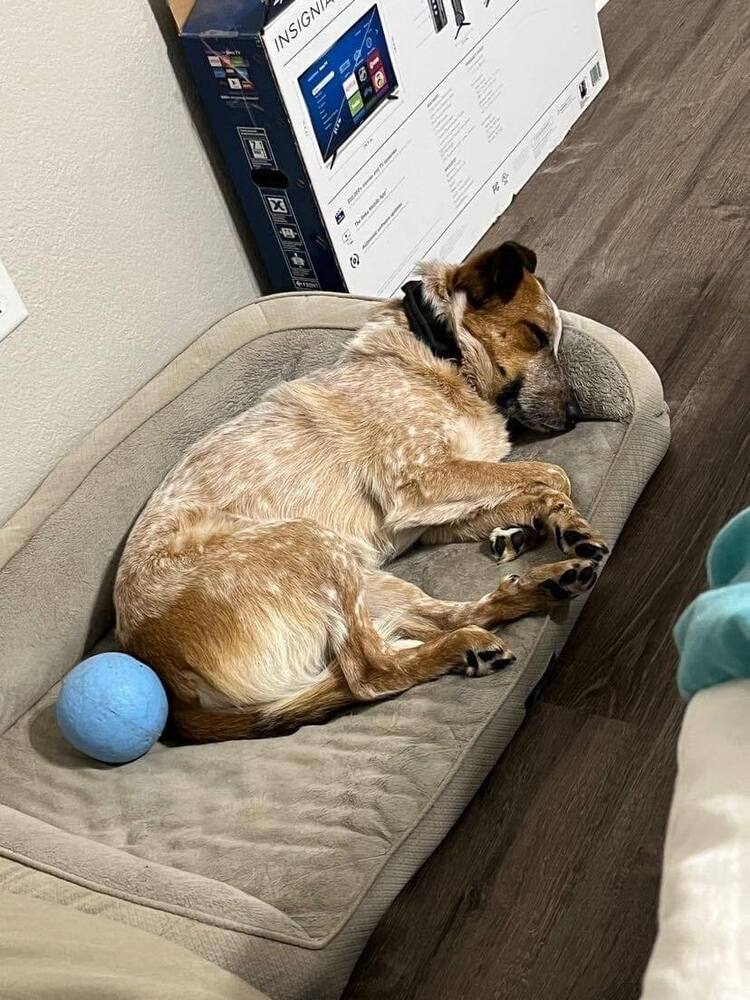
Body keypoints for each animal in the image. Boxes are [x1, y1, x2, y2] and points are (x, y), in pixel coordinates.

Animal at [117, 242, 612, 744]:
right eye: (535, 334)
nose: (575, 416)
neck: (443, 354)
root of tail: (172, 690)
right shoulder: (423, 482)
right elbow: (552, 473)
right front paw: (554, 524)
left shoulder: (431, 517)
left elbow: (534, 489)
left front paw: (540, 529)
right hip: (309, 543)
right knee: (373, 671)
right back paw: (464, 646)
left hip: (363, 576)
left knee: (447, 617)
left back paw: (546, 584)